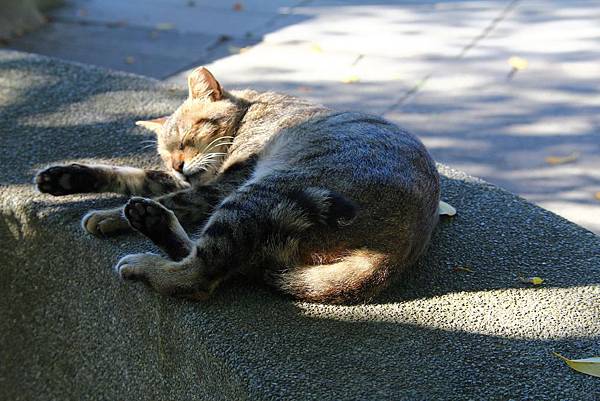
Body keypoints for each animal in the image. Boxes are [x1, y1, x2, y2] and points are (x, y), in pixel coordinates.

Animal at [36, 66, 440, 304]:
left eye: (186, 139)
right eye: (165, 154)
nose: (178, 165)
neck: (251, 109)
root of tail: (393, 254)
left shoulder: (217, 186)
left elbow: (175, 196)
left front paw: (108, 214)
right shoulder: (189, 180)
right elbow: (130, 175)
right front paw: (65, 178)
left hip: (256, 196)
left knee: (199, 276)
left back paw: (145, 250)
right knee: (211, 258)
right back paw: (150, 220)